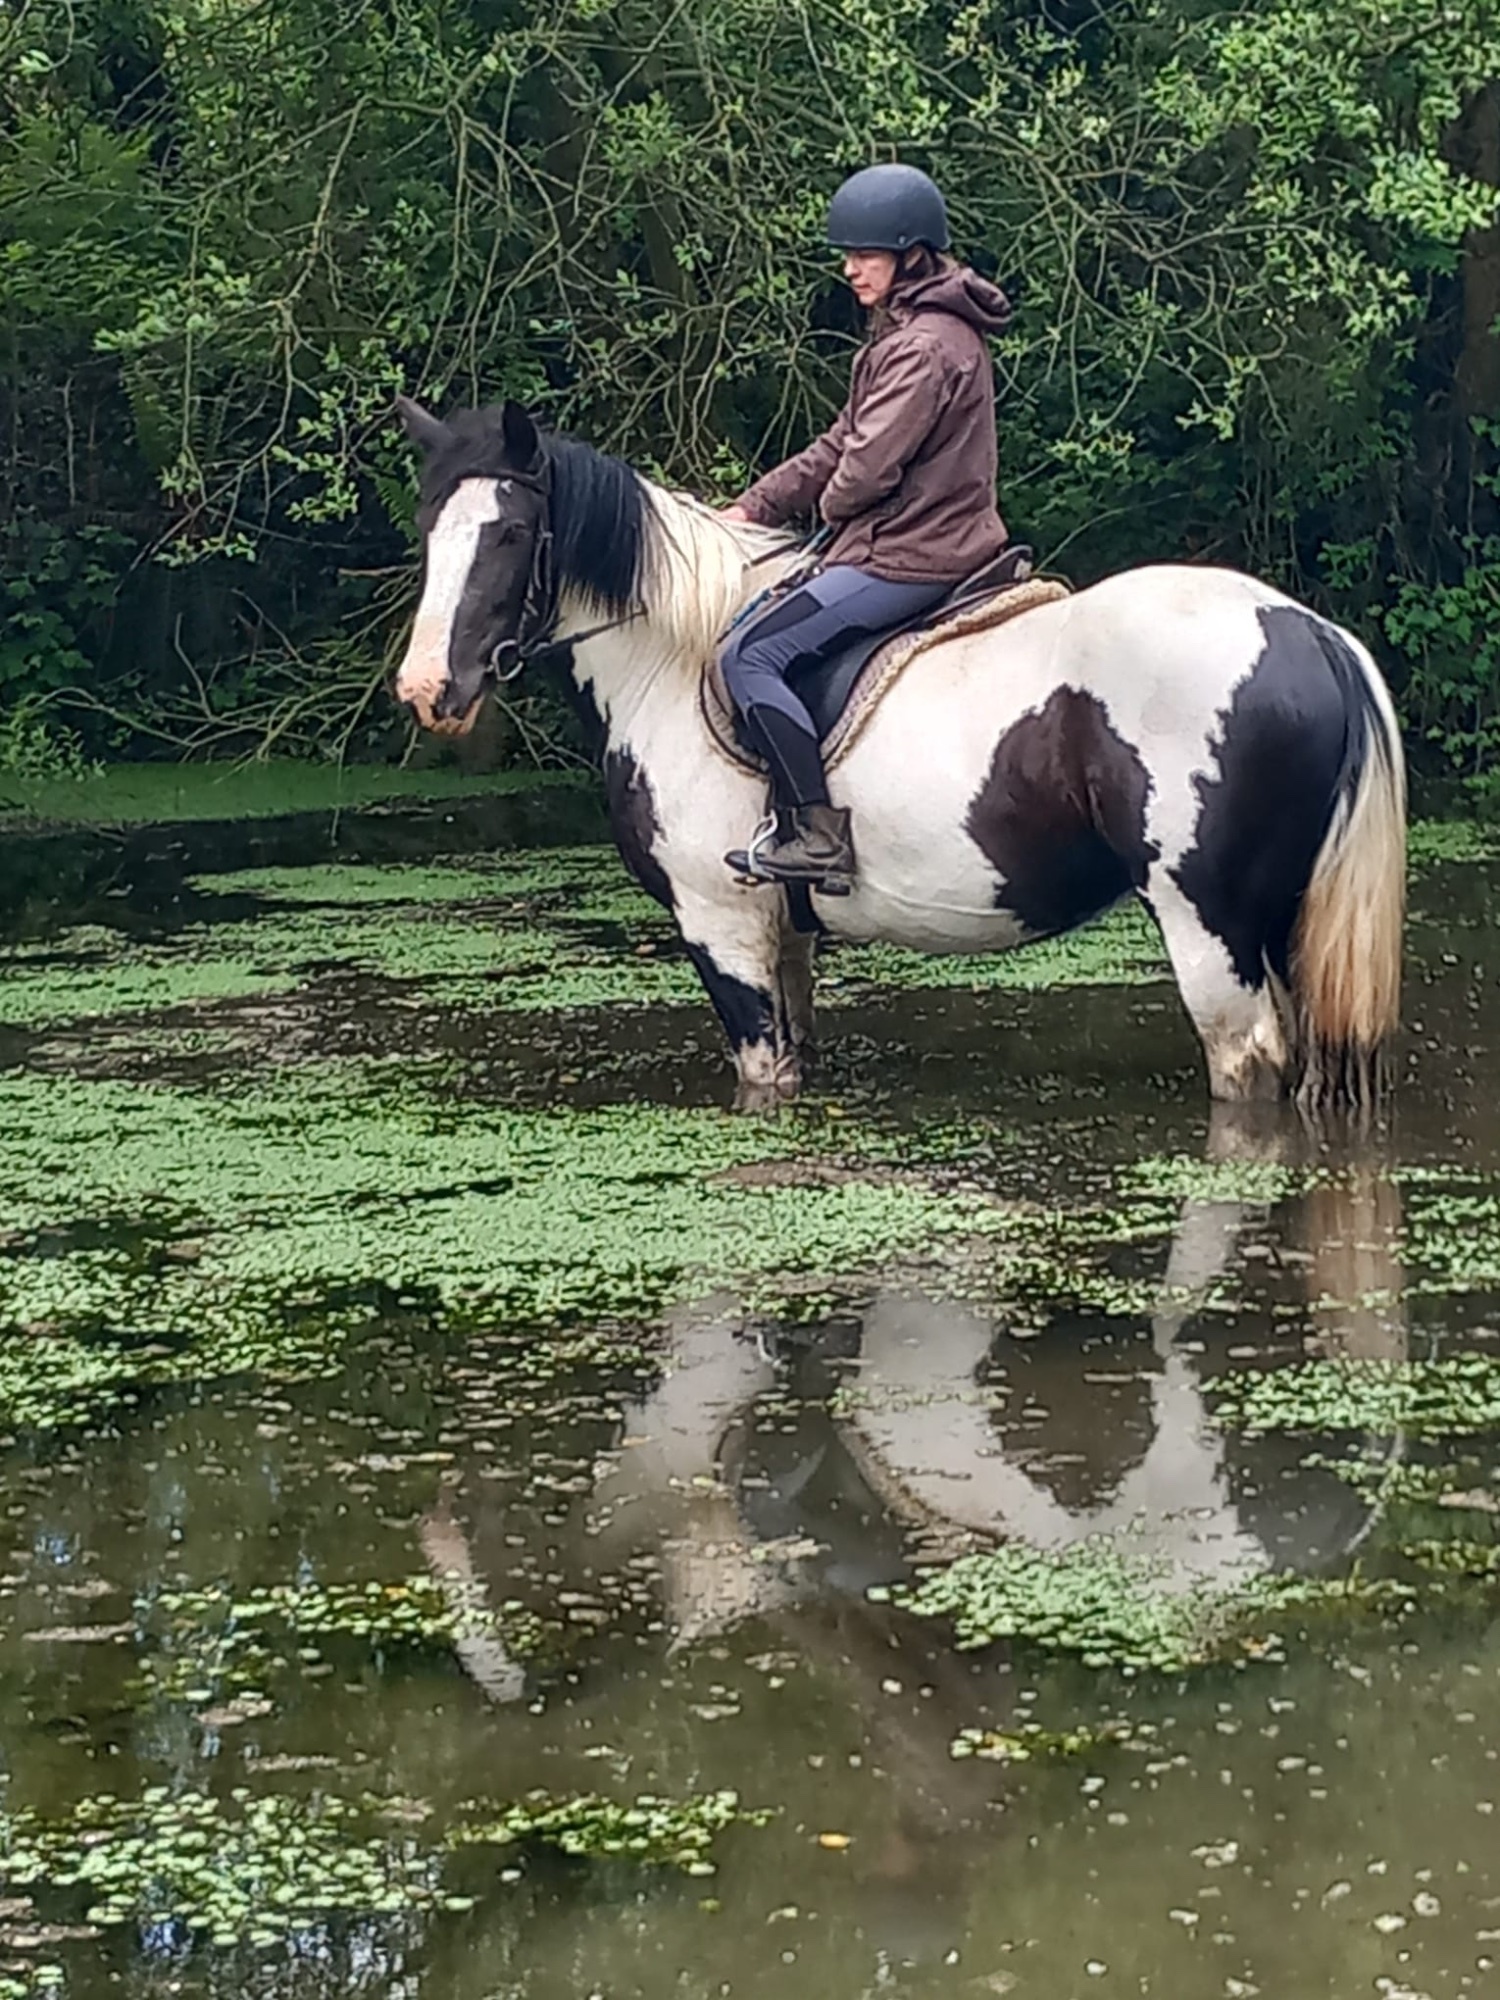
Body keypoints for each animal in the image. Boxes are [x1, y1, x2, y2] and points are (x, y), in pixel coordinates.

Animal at [391, 396, 1407, 1114]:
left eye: (509, 533)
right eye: (431, 527)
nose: (426, 691)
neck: (675, 657)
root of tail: (1310, 632)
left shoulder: (721, 925)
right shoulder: (783, 939)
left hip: (1209, 927)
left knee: (1248, 1067)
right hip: (1282, 927)